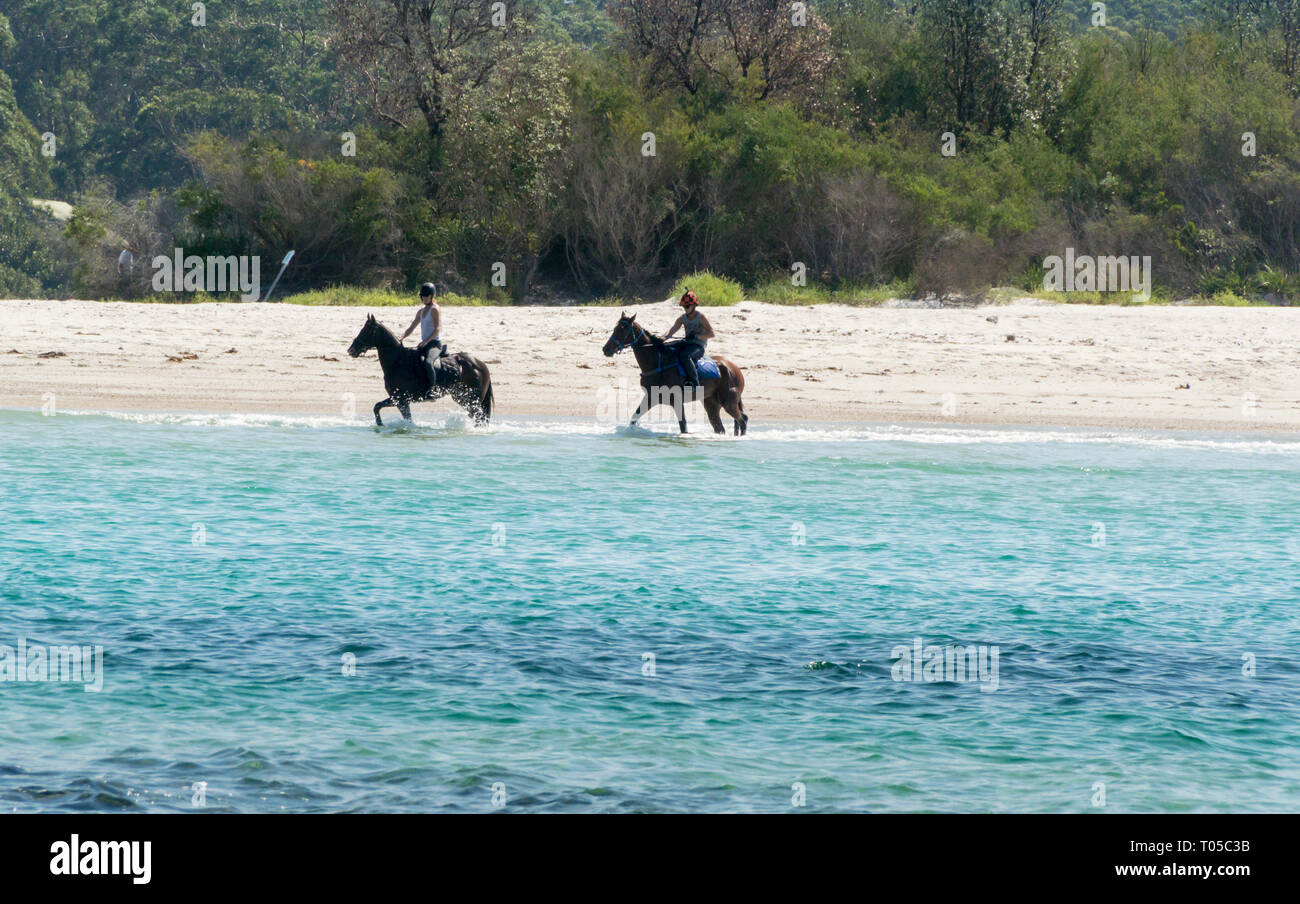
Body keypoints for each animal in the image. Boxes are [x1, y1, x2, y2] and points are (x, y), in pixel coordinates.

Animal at [348, 314, 493, 426]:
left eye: (366, 331)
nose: (351, 350)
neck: (398, 361)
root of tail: (479, 364)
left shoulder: (400, 399)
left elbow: (378, 407)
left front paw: (381, 424)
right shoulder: (399, 400)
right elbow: (378, 407)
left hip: (471, 400)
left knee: (479, 418)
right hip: (463, 399)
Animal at [600, 313, 748, 437]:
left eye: (622, 329)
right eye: (615, 328)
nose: (606, 349)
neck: (658, 362)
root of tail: (735, 368)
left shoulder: (676, 399)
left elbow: (683, 426)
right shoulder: (651, 397)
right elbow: (633, 418)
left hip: (728, 402)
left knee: (743, 420)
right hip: (711, 403)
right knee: (720, 427)